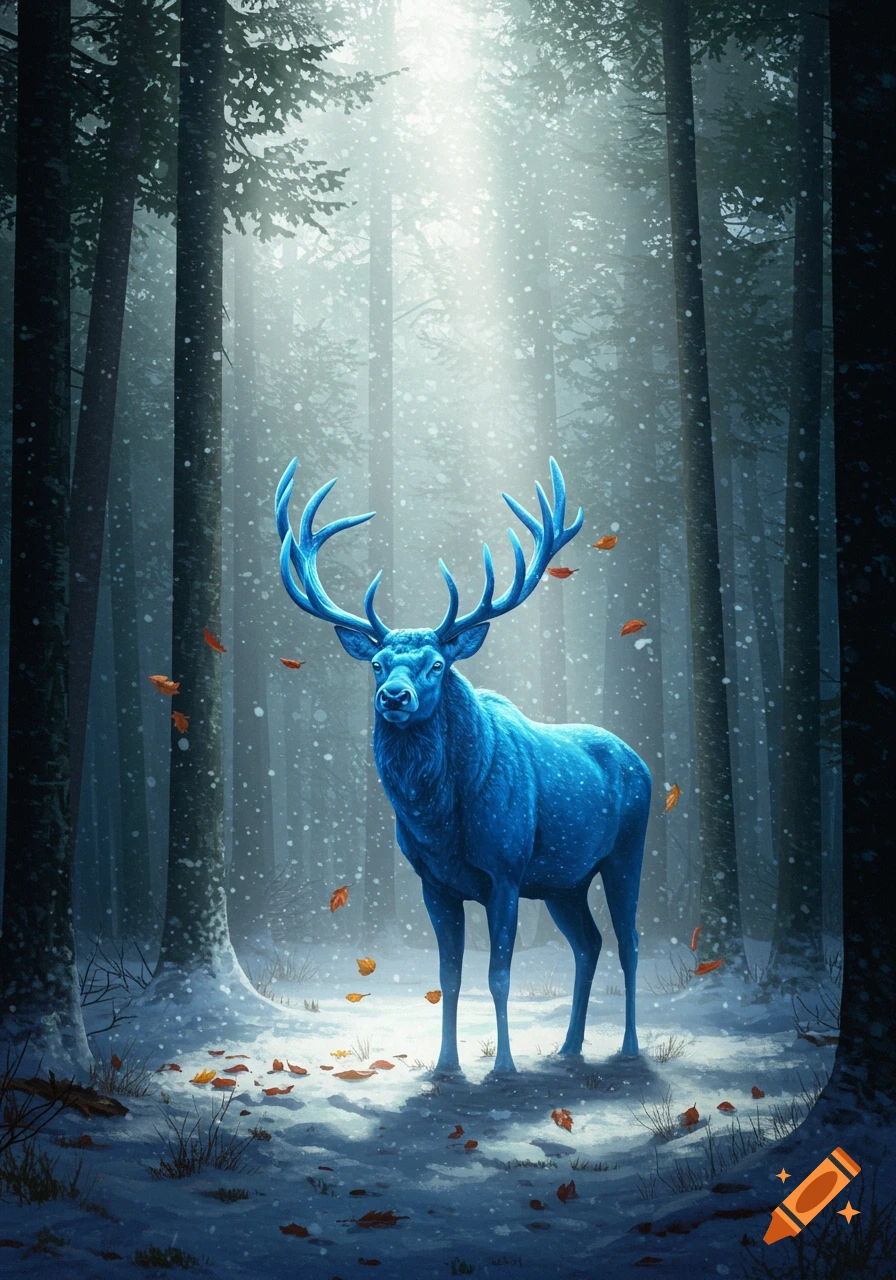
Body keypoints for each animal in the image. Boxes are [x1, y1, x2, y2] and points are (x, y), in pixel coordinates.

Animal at [275, 456, 650, 1076]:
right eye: (377, 664)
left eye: (435, 664)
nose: (394, 697)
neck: (442, 823)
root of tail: (641, 759)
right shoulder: (435, 882)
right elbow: (448, 978)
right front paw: (446, 1065)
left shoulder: (506, 870)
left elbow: (498, 975)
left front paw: (503, 1066)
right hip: (563, 881)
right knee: (588, 943)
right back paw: (569, 1047)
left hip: (625, 853)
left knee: (629, 942)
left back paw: (627, 1047)